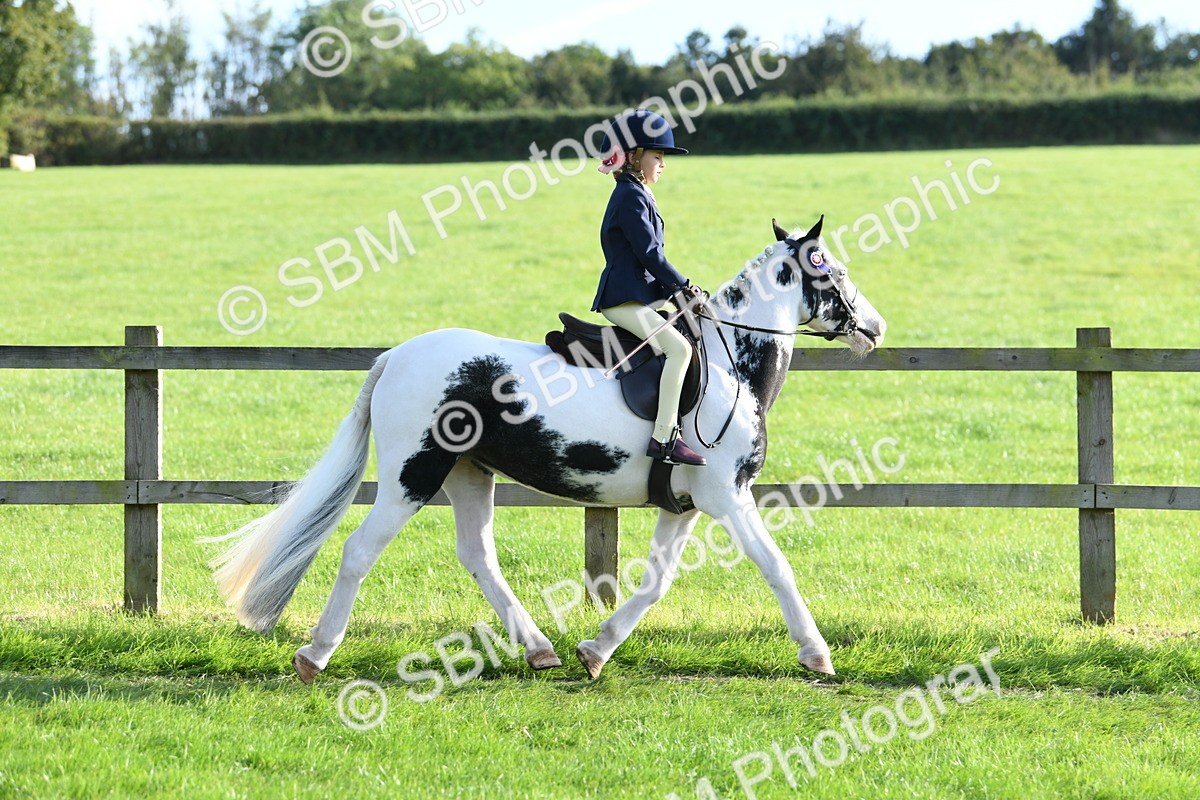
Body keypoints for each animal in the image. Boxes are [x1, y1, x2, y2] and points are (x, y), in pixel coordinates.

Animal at [208, 215, 886, 683]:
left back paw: (540, 649)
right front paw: (817, 654)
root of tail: (396, 355)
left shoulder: (686, 504)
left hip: (468, 472)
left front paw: (596, 649)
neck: (729, 364)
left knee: (478, 555)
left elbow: (655, 583)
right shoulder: (727, 496)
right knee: (359, 551)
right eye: (833, 270)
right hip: (412, 473)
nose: (875, 329)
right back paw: (315, 655)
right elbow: (776, 565)